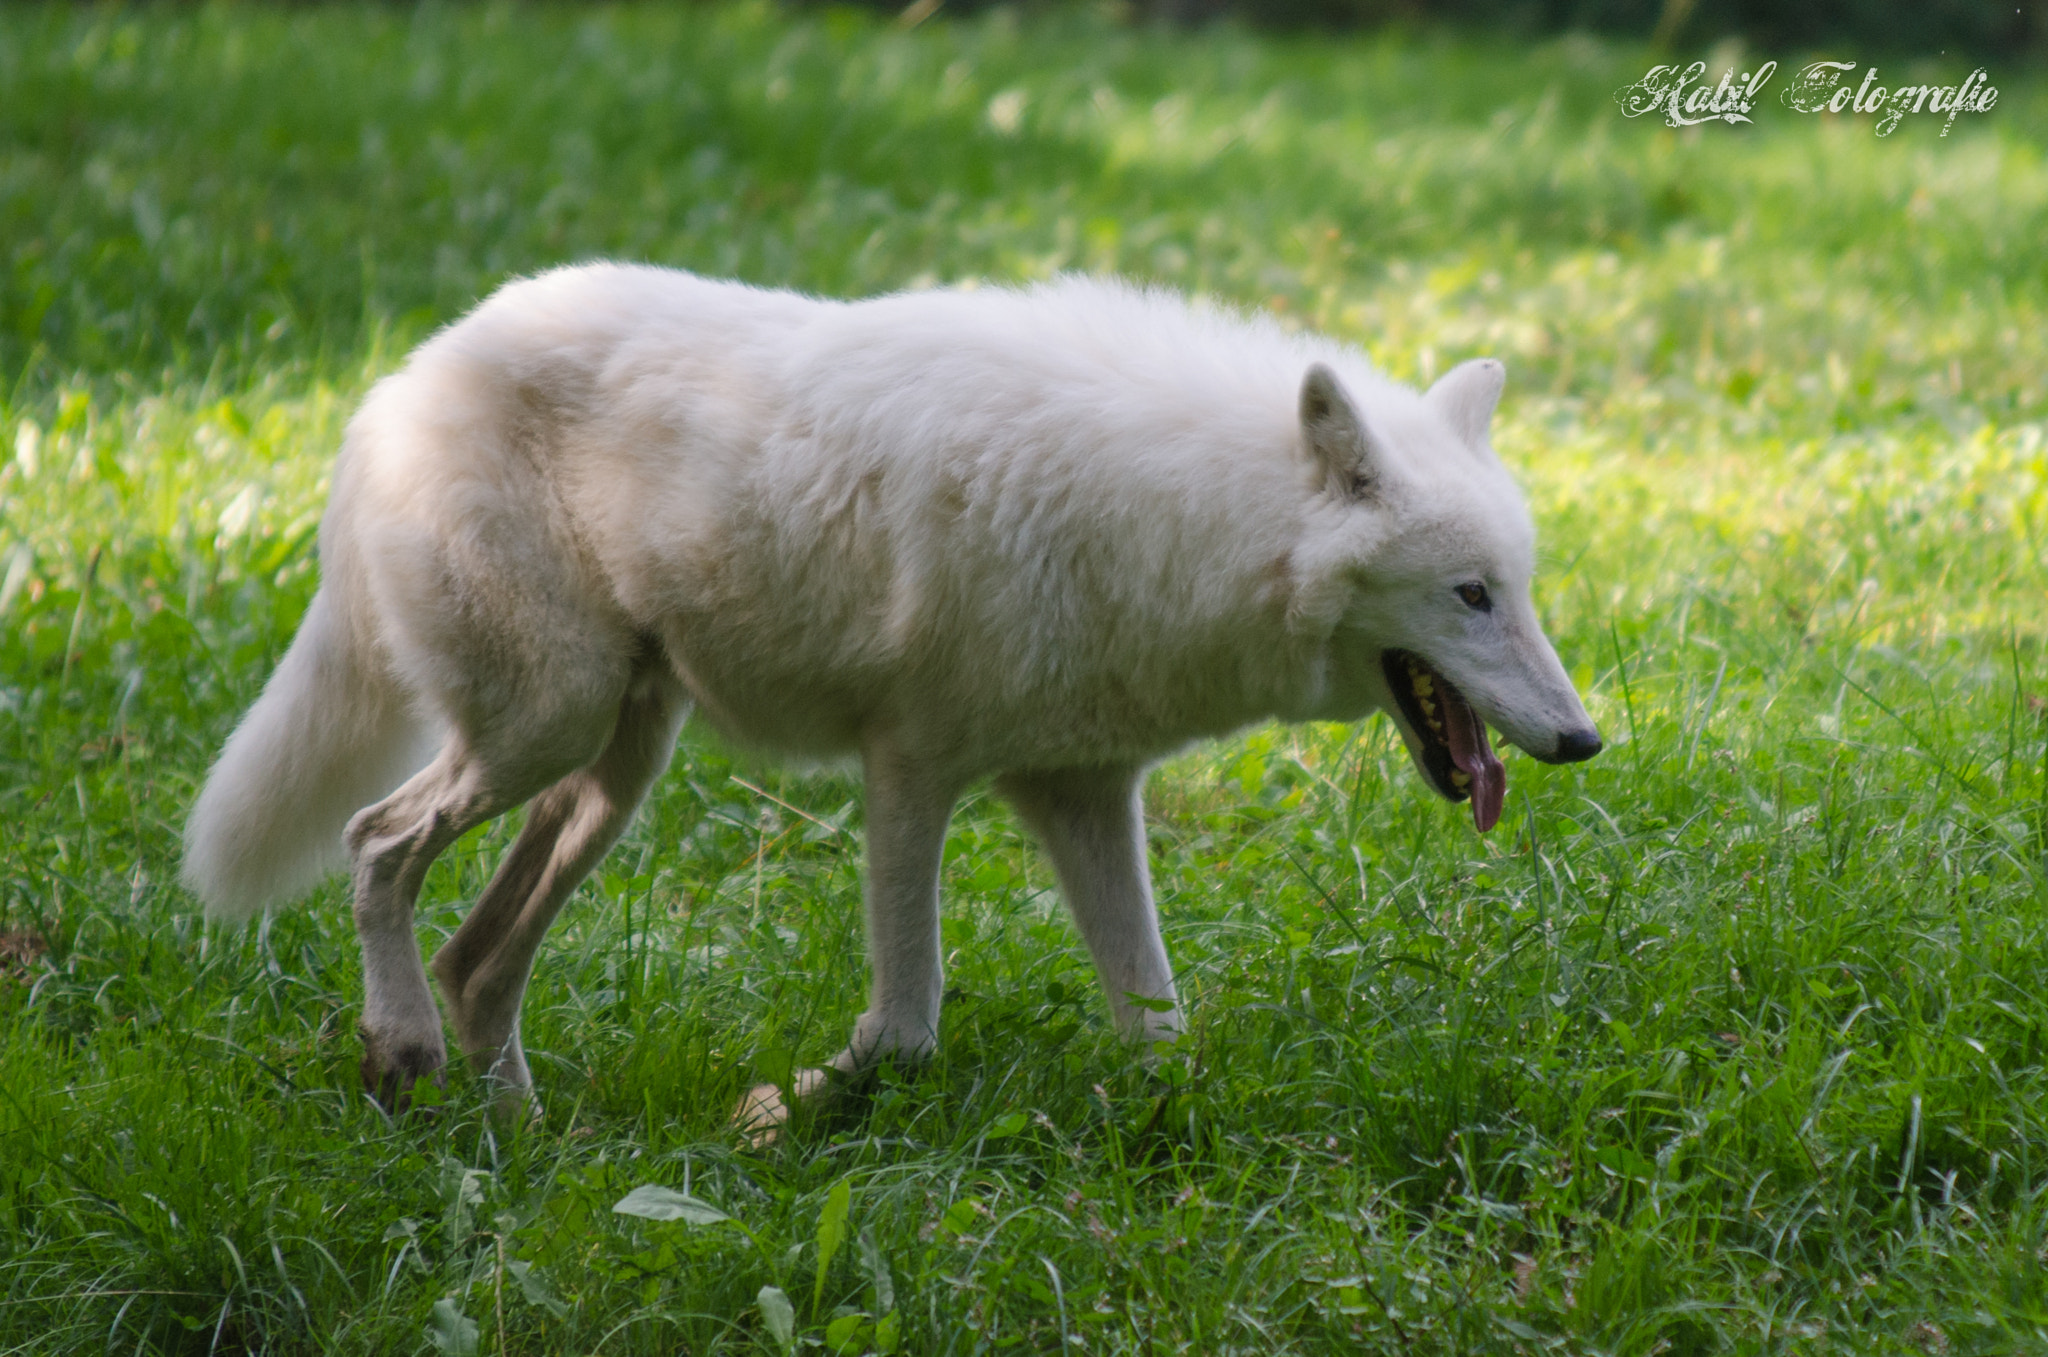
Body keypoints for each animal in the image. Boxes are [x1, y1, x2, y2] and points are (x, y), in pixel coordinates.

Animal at [182, 265, 1599, 1125]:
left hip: (612, 772)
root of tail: (404, 377)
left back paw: (524, 1145)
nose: (1582, 739)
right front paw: (782, 1115)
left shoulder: (1079, 794)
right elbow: (910, 1024)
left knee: (478, 962)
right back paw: (403, 1049)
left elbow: (1158, 1026)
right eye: (1469, 595)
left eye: (1521, 589)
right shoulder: (909, 771)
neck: (1185, 512)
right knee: (376, 843)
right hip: (546, 731)